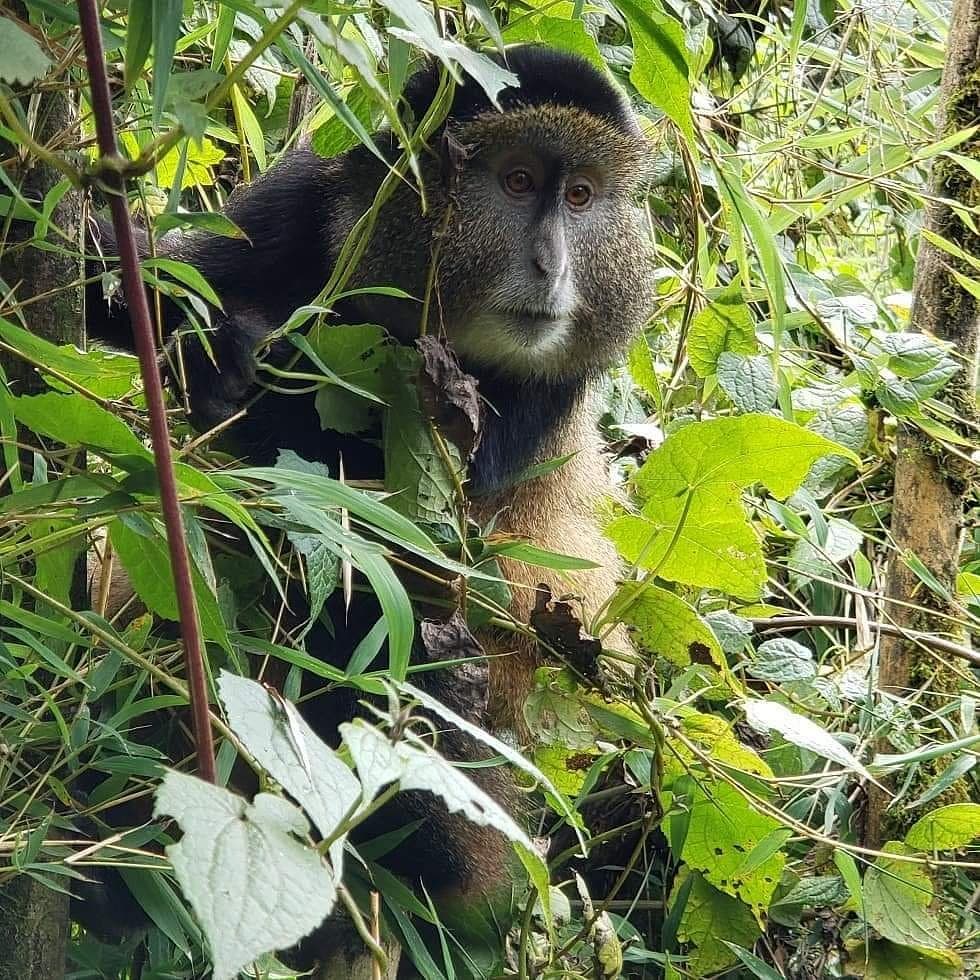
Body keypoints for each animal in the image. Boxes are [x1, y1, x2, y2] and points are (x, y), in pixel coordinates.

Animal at [80, 44, 655, 971]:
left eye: (581, 197)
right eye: (518, 180)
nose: (553, 266)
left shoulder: (530, 400)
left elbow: (355, 489)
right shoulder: (297, 198)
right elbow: (173, 287)